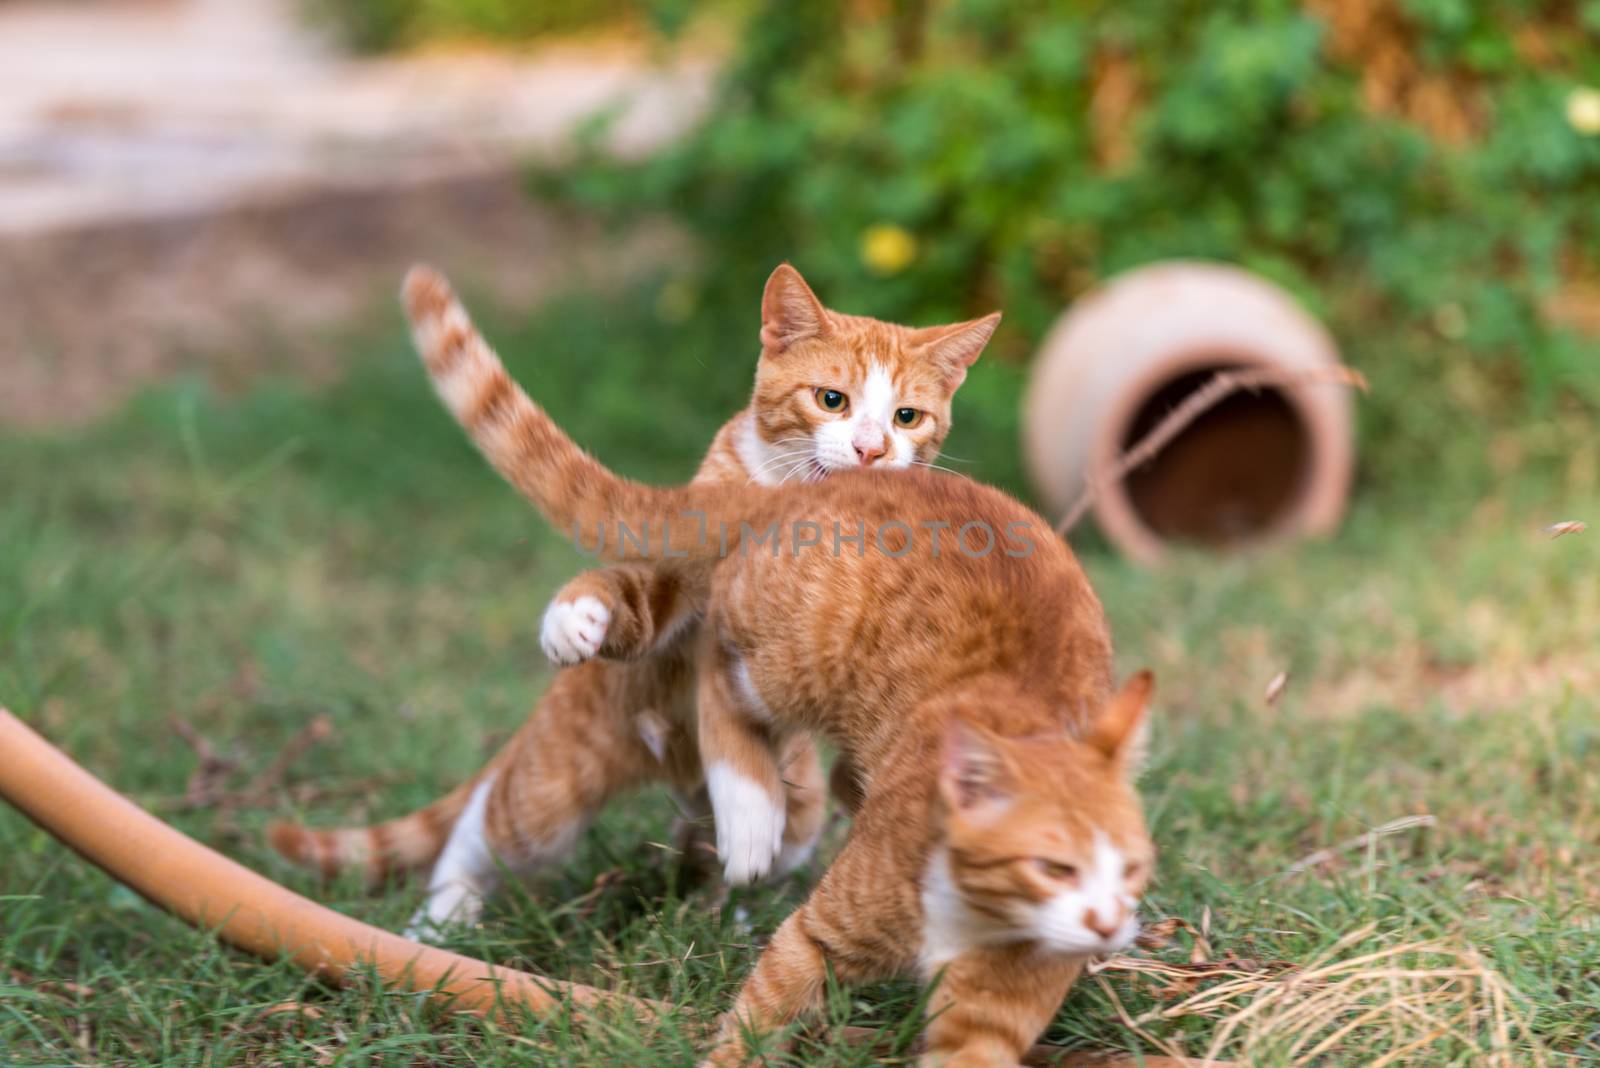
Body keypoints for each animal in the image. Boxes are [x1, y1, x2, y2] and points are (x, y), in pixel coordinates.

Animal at [273, 262, 998, 940]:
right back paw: (441, 917)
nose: (871, 450)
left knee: (755, 835)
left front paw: (747, 826)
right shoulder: (686, 577)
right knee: (491, 827)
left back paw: (717, 901)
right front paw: (576, 617)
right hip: (557, 780)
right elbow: (647, 602)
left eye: (906, 417)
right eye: (831, 400)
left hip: (794, 805)